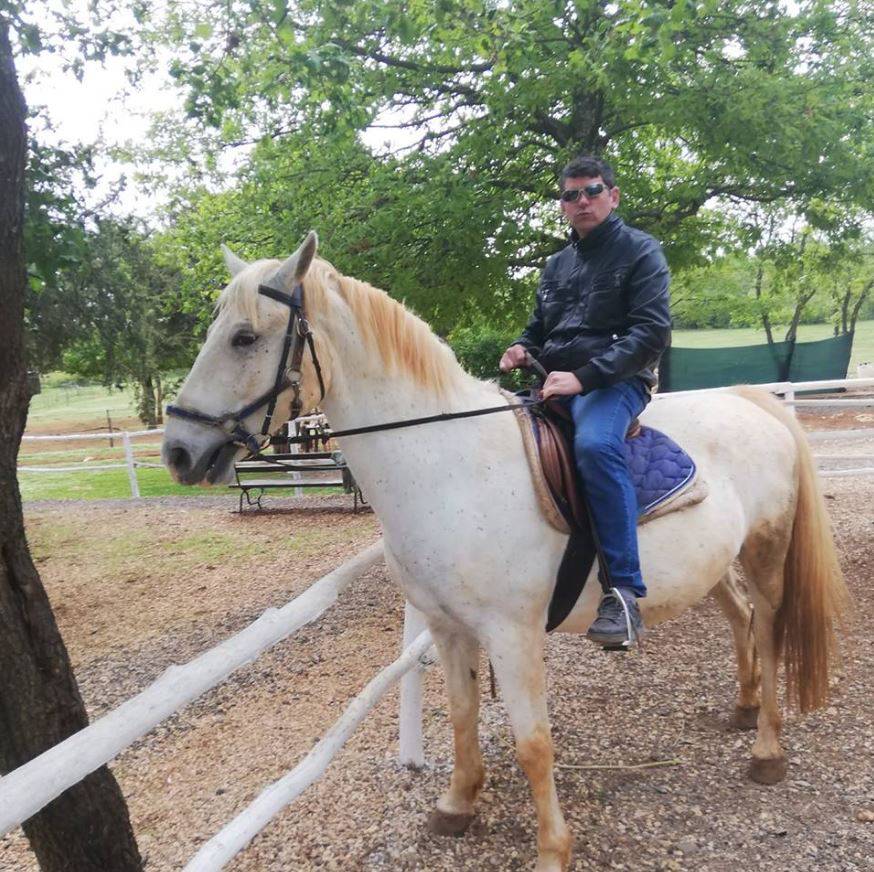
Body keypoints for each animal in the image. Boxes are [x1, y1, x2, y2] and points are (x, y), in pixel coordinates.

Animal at [162, 233, 844, 872]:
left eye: (245, 337)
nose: (178, 450)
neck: (450, 464)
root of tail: (749, 400)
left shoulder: (513, 634)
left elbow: (533, 743)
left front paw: (551, 850)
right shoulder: (446, 627)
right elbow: (463, 716)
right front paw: (458, 806)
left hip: (764, 553)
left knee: (768, 631)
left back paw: (767, 752)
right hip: (714, 565)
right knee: (740, 619)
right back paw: (744, 708)